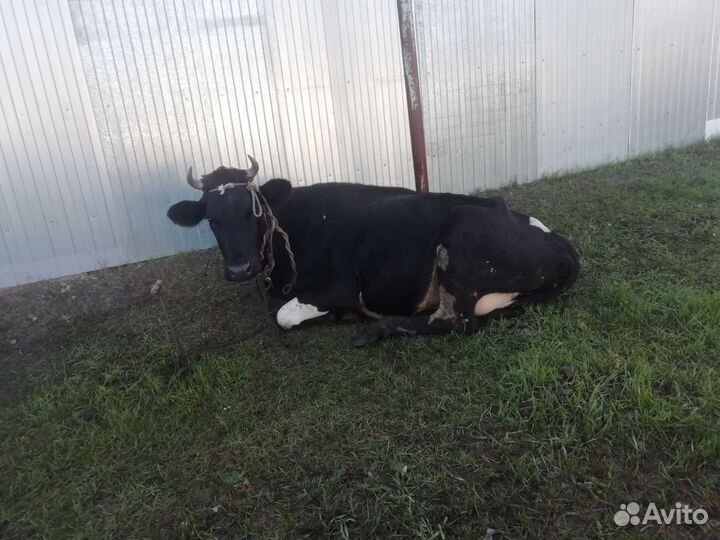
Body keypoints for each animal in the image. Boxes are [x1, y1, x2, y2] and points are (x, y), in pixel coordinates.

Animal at [167, 156, 579, 346]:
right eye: (211, 219)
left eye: (251, 214)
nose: (240, 268)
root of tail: (560, 241)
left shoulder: (341, 287)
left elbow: (284, 316)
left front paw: (341, 316)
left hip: (461, 232)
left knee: (458, 322)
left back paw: (374, 328)